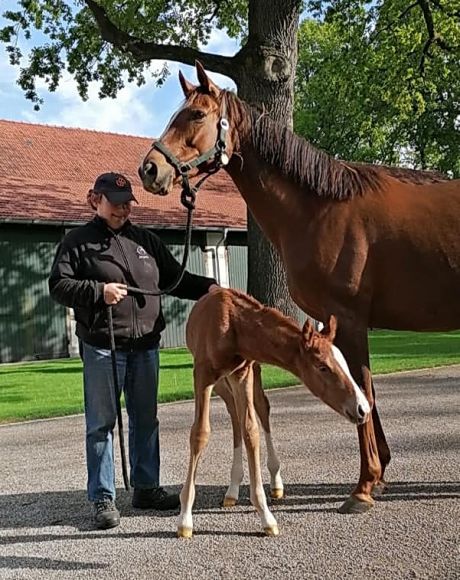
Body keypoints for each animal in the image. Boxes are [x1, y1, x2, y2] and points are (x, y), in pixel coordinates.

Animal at [177, 288, 370, 536]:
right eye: (322, 367)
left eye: (344, 362)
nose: (362, 408)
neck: (232, 324)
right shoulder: (202, 375)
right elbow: (200, 433)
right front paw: (185, 519)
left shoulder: (243, 372)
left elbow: (251, 430)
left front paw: (265, 515)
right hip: (221, 381)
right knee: (233, 412)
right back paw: (232, 490)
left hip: (249, 373)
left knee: (260, 408)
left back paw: (272, 483)